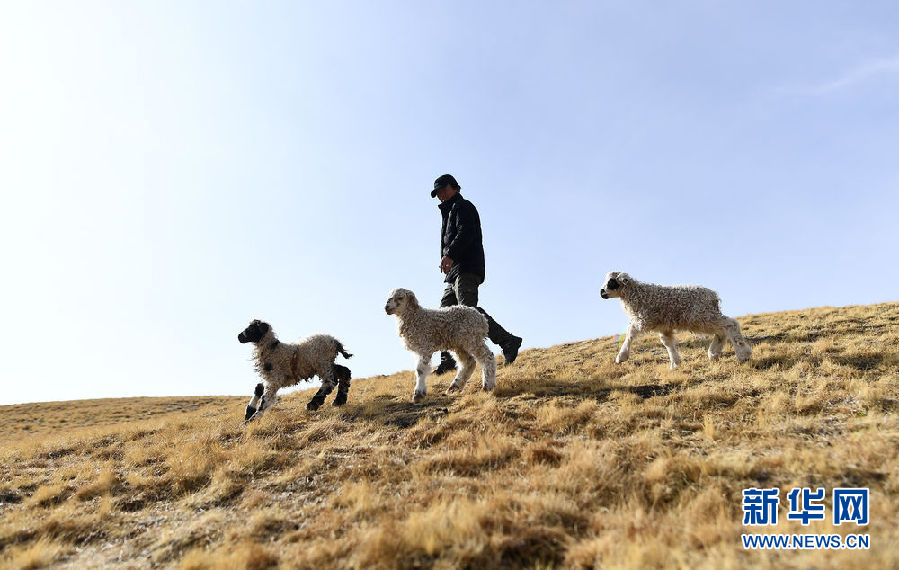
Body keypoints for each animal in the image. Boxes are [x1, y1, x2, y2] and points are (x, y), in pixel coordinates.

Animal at [600, 272, 752, 369]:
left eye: (611, 282)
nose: (601, 292)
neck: (636, 294)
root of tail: (713, 296)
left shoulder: (644, 319)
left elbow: (630, 332)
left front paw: (621, 356)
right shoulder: (663, 326)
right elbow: (667, 343)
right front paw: (675, 363)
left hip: (700, 316)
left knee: (730, 324)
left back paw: (743, 354)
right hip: (705, 317)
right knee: (721, 331)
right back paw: (714, 354)